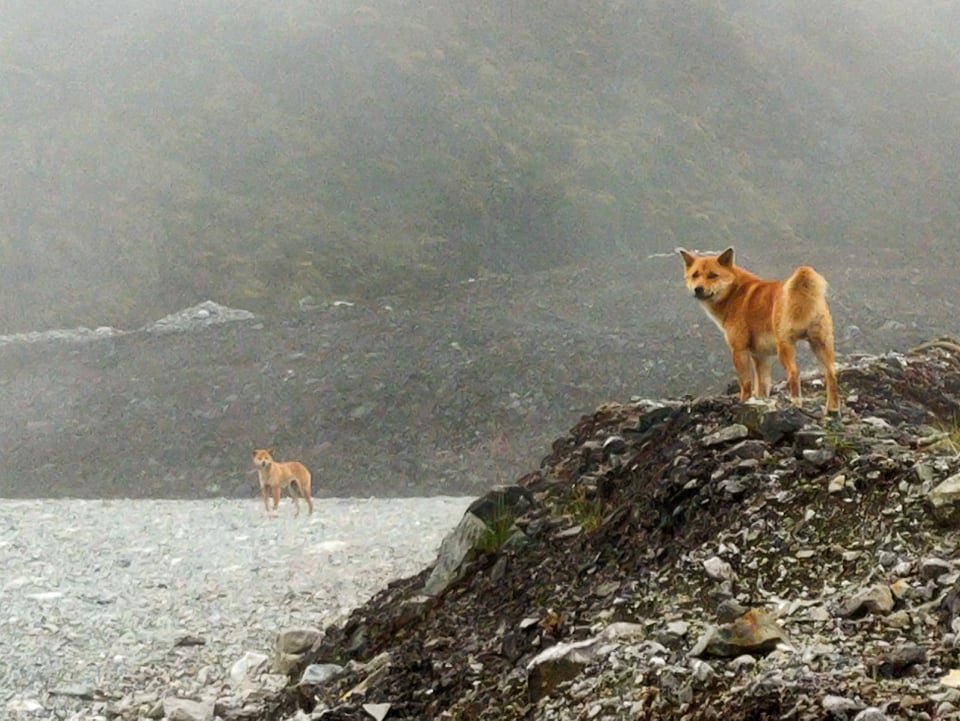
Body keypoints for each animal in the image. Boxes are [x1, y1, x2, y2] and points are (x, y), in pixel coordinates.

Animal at [676, 248, 840, 414]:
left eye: (712, 275)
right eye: (695, 275)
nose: (698, 289)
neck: (734, 292)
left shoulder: (739, 350)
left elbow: (746, 384)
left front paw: (744, 402)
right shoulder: (761, 356)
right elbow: (762, 386)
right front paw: (761, 403)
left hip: (785, 347)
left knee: (794, 374)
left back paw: (796, 404)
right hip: (821, 345)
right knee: (831, 375)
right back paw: (833, 409)